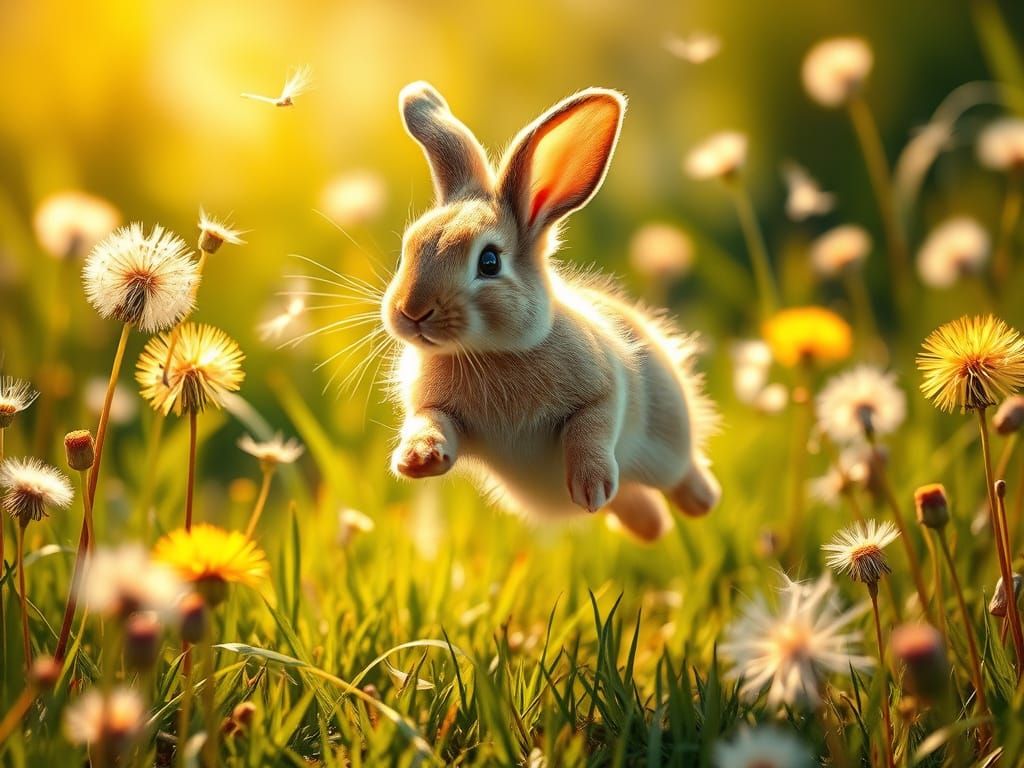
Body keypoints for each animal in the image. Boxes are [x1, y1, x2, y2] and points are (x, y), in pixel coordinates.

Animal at [381, 81, 720, 541]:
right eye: (405, 255)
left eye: (489, 262)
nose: (412, 311)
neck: (489, 353)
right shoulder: (438, 411)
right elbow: (431, 423)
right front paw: (417, 459)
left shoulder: (605, 392)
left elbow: (590, 428)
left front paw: (591, 488)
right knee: (642, 508)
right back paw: (648, 527)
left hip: (668, 448)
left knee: (683, 477)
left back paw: (700, 501)